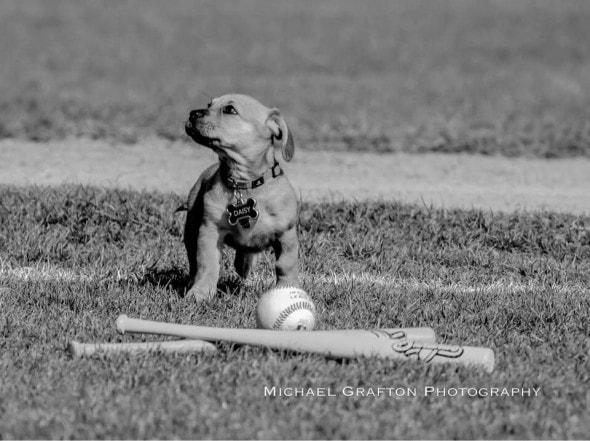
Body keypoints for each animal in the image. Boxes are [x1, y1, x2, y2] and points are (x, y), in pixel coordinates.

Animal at [183, 92, 300, 300]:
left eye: (230, 110)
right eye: (209, 105)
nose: (193, 113)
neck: (244, 184)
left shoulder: (286, 234)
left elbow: (285, 265)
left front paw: (288, 289)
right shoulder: (209, 231)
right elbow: (207, 264)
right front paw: (201, 292)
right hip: (191, 228)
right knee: (193, 260)